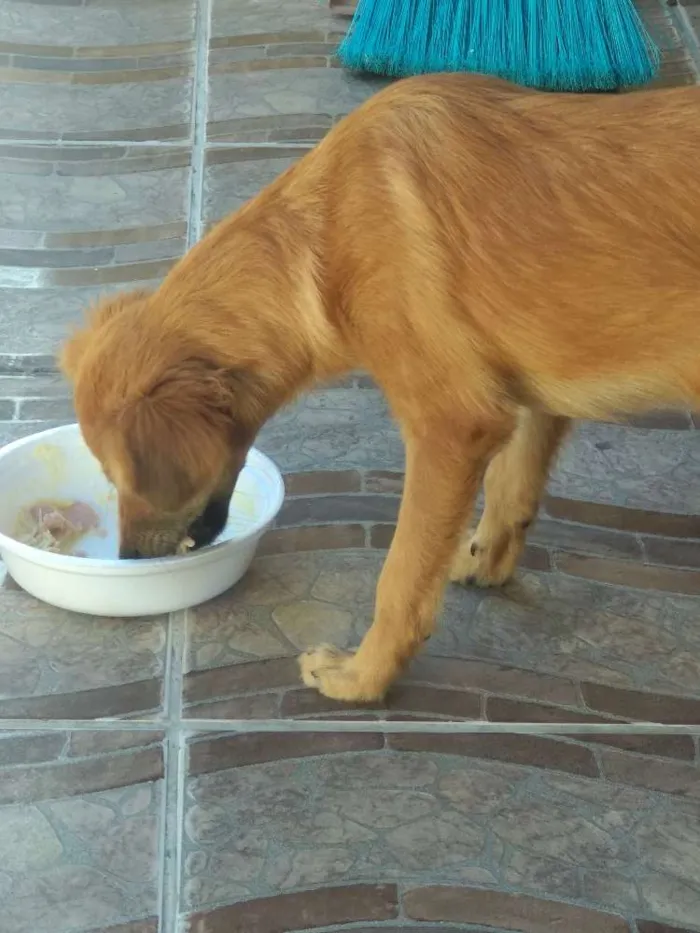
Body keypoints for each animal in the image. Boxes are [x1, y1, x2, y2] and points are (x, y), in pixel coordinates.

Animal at [58, 74, 700, 700]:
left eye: (122, 478)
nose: (127, 559)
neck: (322, 234)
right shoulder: (530, 384)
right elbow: (512, 489)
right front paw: (483, 559)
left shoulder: (450, 427)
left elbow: (401, 575)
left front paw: (362, 677)